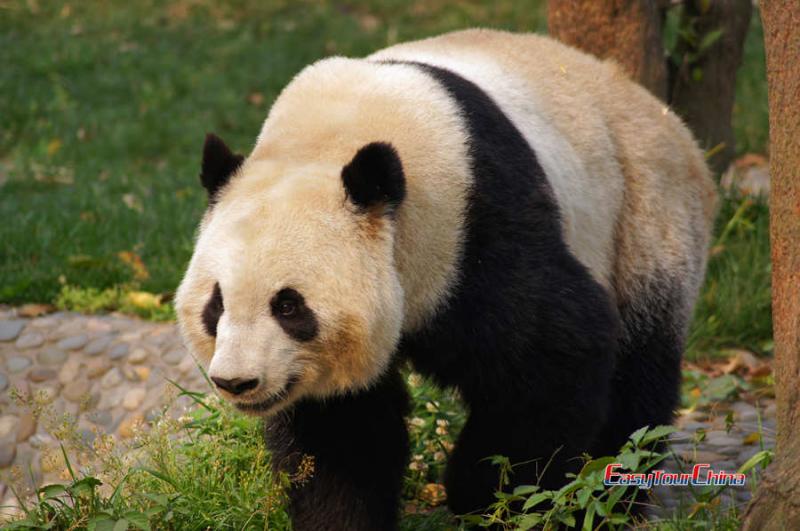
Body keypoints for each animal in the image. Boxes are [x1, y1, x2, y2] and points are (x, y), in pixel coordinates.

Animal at [177, 29, 720, 531]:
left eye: (288, 306)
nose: (237, 381)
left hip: (644, 213)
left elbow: (555, 352)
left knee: (639, 371)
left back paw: (613, 499)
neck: (329, 138)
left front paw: (486, 496)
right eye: (216, 304)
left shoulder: (473, 226)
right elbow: (341, 430)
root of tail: (659, 110)